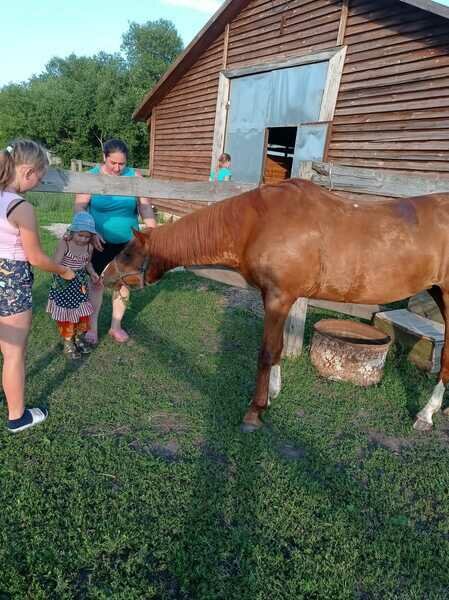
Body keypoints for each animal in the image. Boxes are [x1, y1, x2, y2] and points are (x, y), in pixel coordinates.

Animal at [101, 178, 449, 433]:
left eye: (129, 253)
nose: (104, 275)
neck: (256, 222)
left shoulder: (279, 297)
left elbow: (267, 351)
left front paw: (255, 411)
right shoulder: (276, 297)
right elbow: (278, 347)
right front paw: (273, 393)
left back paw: (426, 414)